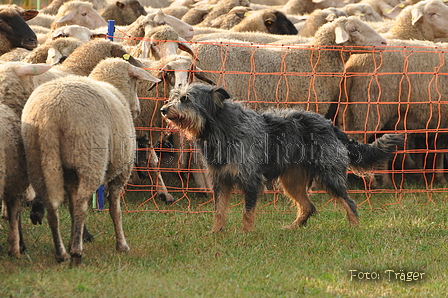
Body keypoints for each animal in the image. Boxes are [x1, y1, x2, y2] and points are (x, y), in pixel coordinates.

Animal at [21, 58, 161, 266]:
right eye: (135, 82)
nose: (137, 109)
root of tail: (50, 114)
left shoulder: (71, 178)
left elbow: (71, 209)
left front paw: (74, 238)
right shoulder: (121, 171)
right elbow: (115, 210)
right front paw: (122, 245)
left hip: (40, 158)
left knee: (53, 205)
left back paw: (61, 253)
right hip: (89, 159)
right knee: (81, 205)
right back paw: (76, 254)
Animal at [160, 82, 402, 232]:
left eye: (186, 99)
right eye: (173, 97)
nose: (163, 109)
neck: (220, 129)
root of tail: (329, 125)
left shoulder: (251, 181)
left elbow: (247, 212)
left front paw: (244, 234)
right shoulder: (221, 181)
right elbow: (219, 211)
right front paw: (215, 232)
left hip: (329, 176)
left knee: (349, 202)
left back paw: (354, 228)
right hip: (292, 181)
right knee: (308, 206)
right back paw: (292, 228)